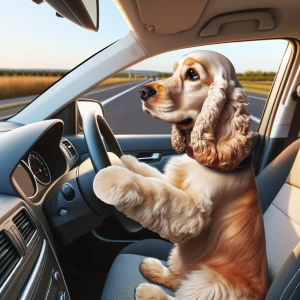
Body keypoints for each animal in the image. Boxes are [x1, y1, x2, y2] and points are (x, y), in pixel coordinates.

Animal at [93, 50, 268, 298]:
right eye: (174, 70)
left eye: (192, 74)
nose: (143, 92)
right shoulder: (174, 181)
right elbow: (151, 176)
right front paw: (123, 160)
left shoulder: (194, 213)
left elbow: (157, 191)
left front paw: (112, 179)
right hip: (181, 257)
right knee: (178, 278)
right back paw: (153, 268)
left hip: (210, 281)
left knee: (183, 292)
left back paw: (149, 291)